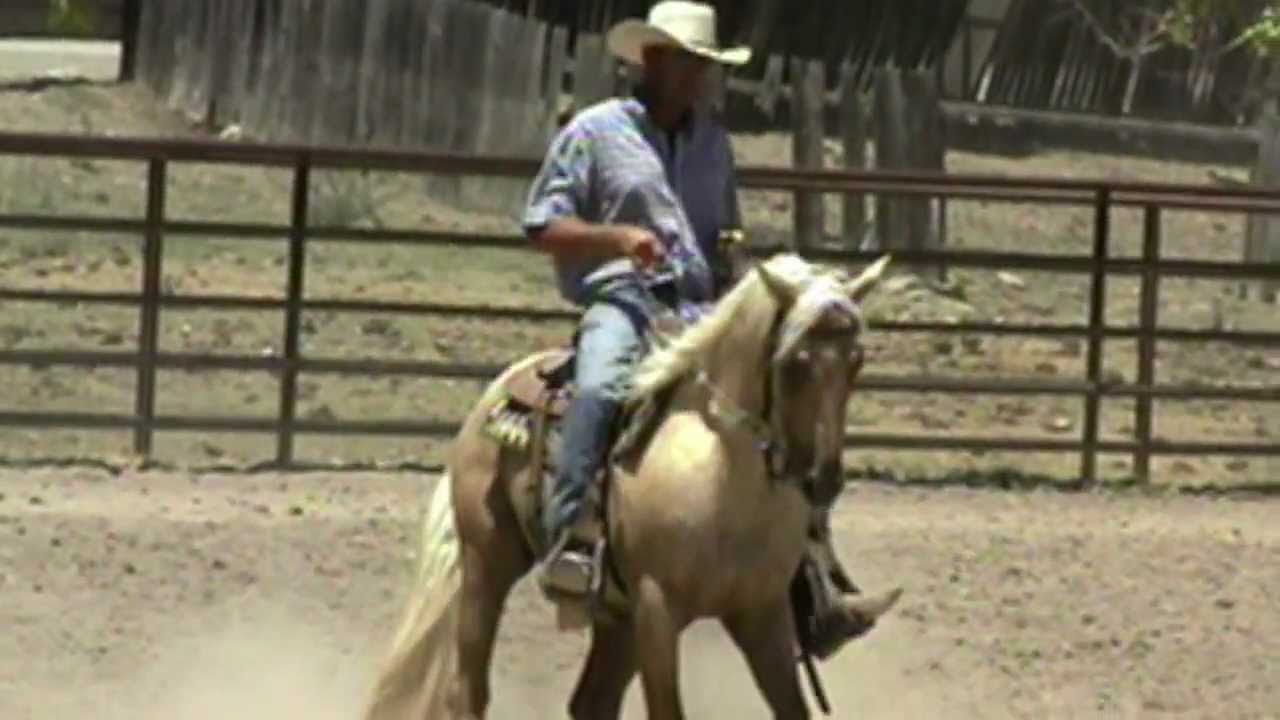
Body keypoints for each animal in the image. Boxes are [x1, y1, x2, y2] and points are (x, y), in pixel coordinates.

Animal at [361, 252, 902, 720]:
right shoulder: (657, 609)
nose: (821, 479)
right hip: (487, 563)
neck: (723, 478)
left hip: (613, 611)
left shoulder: (761, 614)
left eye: (856, 360)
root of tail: (499, 386)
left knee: (590, 704)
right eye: (794, 361)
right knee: (468, 692)